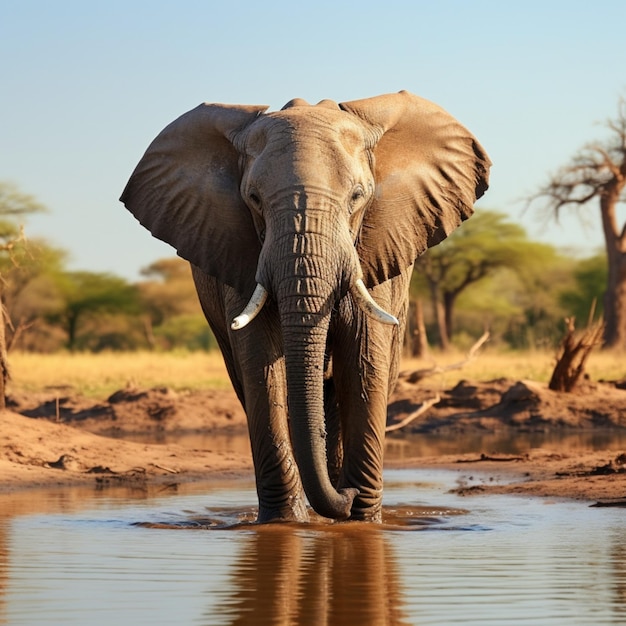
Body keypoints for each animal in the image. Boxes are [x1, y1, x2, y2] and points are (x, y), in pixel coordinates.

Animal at [118, 90, 488, 520]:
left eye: (358, 197)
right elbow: (261, 363)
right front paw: (286, 522)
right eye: (253, 199)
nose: (347, 496)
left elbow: (364, 358)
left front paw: (362, 519)